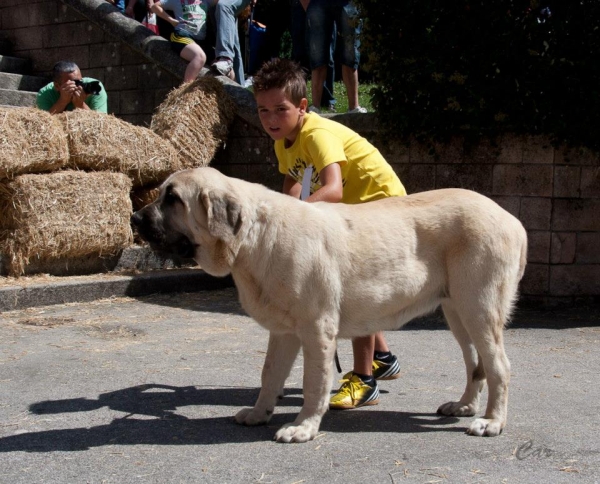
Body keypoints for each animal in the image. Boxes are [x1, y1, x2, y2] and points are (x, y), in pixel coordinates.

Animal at [130, 166, 524, 442]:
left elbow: (313, 383)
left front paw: (303, 427)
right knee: (475, 365)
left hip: (478, 308)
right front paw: (259, 414)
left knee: (500, 366)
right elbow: (269, 375)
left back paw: (491, 421)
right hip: (457, 312)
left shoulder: (317, 329)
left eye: (173, 199)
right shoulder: (284, 333)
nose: (133, 218)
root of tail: (512, 220)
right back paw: (464, 406)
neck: (254, 237)